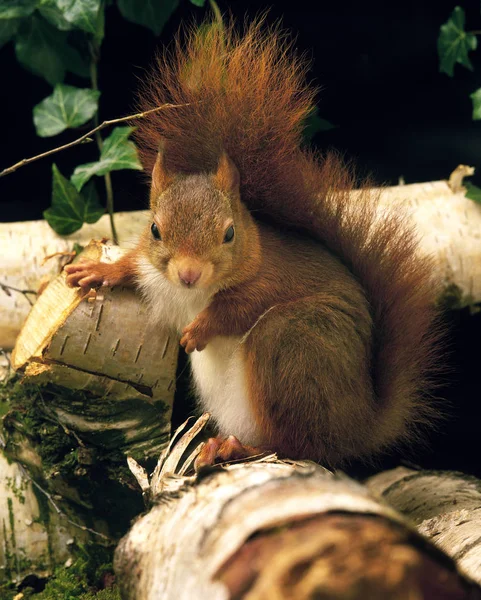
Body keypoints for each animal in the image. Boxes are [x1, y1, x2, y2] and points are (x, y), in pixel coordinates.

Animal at [64, 18, 442, 466]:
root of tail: (359, 426)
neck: (191, 294)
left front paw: (200, 329)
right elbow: (131, 264)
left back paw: (238, 447)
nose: (189, 273)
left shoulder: (272, 278)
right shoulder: (150, 268)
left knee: (299, 445)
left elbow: (239, 307)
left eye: (229, 233)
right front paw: (96, 270)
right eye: (155, 229)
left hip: (290, 346)